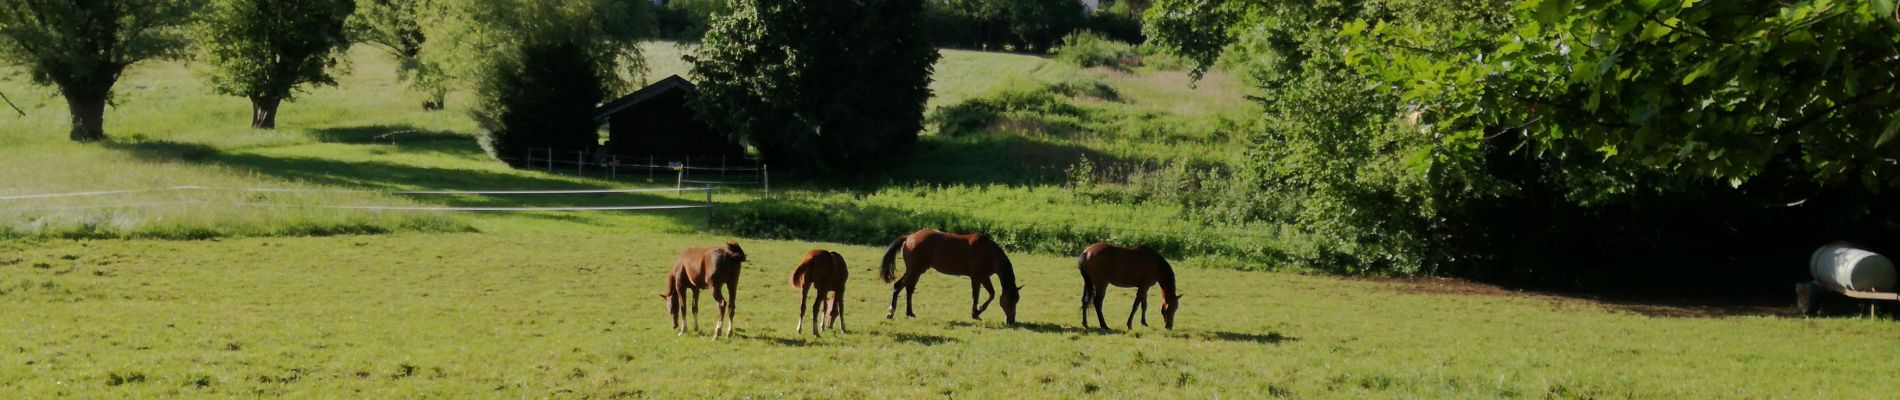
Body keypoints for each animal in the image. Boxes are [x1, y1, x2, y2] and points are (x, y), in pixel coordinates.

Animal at [877, 229, 1026, 324]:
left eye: (1017, 301)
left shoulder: (984, 277)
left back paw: (910, 313)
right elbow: (976, 295)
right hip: (914, 270)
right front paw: (975, 313)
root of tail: (909, 237)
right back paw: (891, 312)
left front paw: (978, 311)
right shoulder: (977, 277)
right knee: (898, 286)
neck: (988, 252)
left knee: (909, 289)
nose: (1011, 321)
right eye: (1009, 302)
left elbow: (992, 294)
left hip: (918, 271)